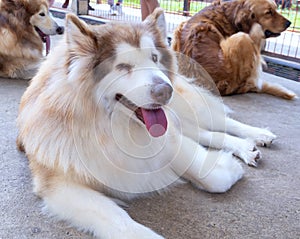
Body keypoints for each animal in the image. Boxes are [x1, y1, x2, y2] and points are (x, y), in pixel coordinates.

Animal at [17, 8, 276, 238]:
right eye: (123, 66)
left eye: (154, 58)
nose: (166, 91)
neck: (111, 127)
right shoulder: (60, 184)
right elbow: (119, 221)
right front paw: (232, 162)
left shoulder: (168, 139)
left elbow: (211, 177)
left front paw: (229, 169)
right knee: (204, 132)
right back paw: (246, 148)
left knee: (220, 121)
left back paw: (258, 136)